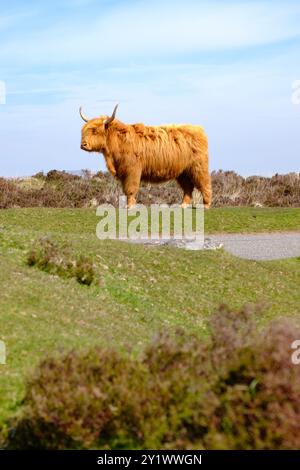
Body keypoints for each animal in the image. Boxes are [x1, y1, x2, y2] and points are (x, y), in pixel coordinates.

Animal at [79, 107, 211, 210]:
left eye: (95, 131)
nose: (83, 144)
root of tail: (198, 129)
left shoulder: (132, 170)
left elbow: (131, 188)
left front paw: (130, 206)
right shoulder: (123, 171)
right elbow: (126, 189)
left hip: (198, 167)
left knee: (204, 183)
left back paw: (206, 205)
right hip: (182, 172)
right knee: (188, 187)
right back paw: (183, 205)